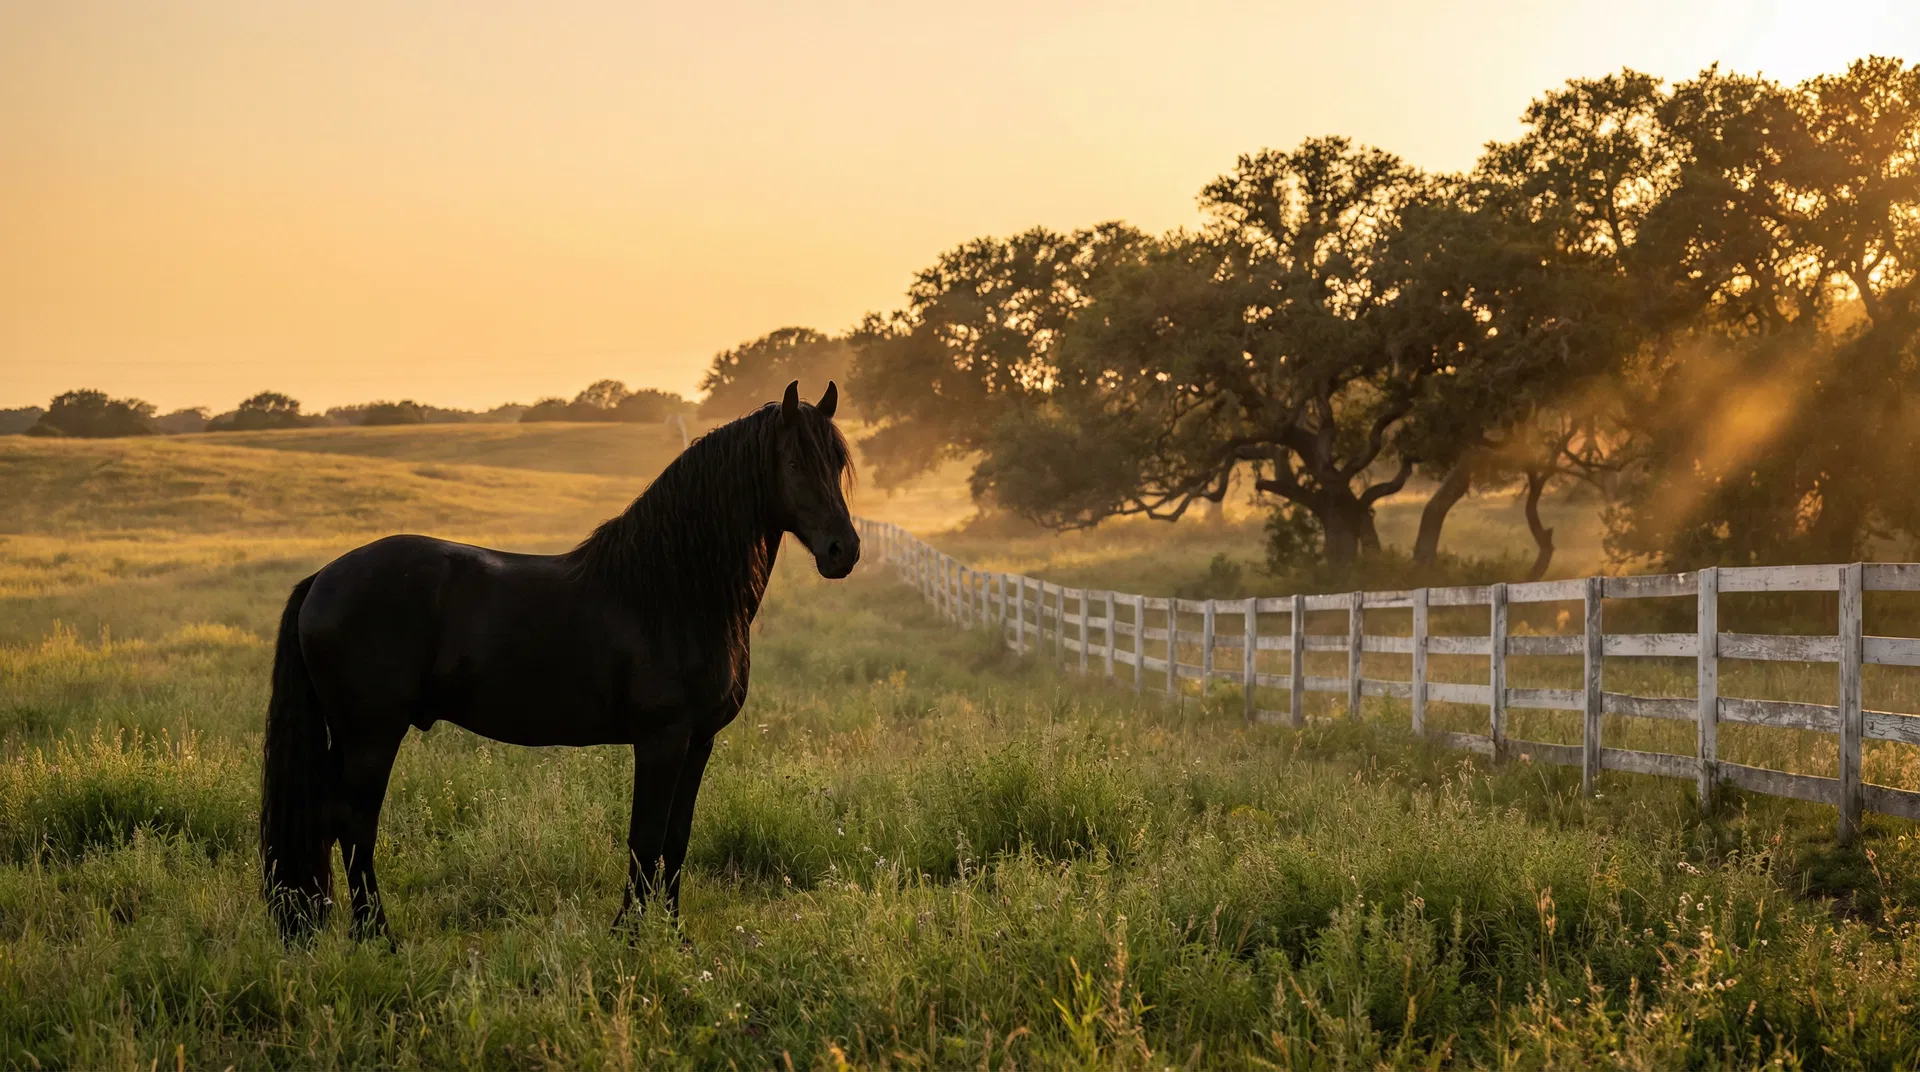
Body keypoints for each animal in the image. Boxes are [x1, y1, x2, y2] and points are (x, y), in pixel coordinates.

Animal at [259, 381, 858, 942]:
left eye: (837, 463)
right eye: (794, 463)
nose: (843, 551)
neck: (671, 593)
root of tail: (323, 579)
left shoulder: (698, 742)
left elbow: (675, 841)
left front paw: (674, 937)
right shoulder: (662, 739)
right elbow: (645, 839)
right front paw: (628, 936)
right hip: (371, 736)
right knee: (353, 826)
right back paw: (376, 938)